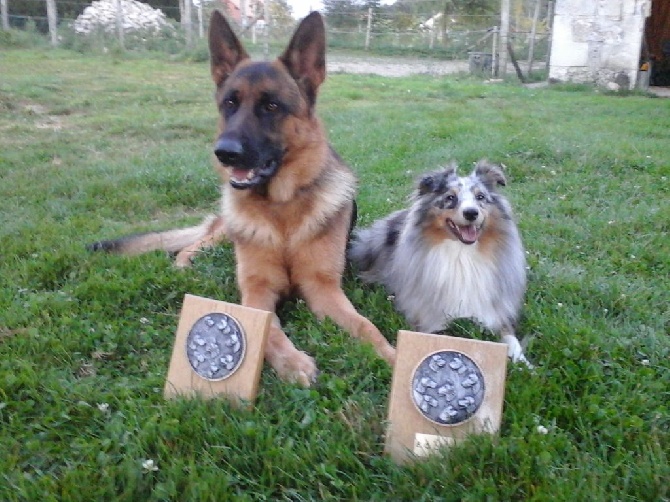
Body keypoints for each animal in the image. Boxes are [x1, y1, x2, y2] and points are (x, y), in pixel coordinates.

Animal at [88, 12, 396, 388]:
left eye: (271, 106)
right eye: (229, 104)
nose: (225, 153)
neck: (281, 211)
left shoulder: (324, 289)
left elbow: (367, 327)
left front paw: (393, 357)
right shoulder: (257, 291)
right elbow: (270, 332)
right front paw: (294, 362)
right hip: (223, 233)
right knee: (194, 244)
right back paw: (186, 263)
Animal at [350, 163, 532, 366]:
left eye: (480, 197)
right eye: (450, 197)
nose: (471, 213)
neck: (462, 253)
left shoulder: (494, 308)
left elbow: (509, 335)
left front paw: (522, 362)